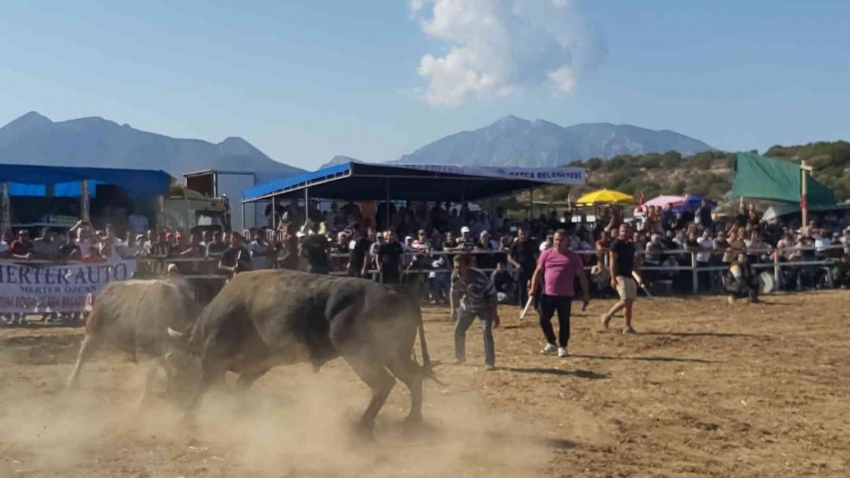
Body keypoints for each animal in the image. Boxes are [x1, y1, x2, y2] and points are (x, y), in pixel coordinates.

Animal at [176, 270, 434, 432]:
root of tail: (394, 290)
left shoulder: (214, 357)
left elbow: (205, 385)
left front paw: (189, 412)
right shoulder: (258, 365)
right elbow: (239, 387)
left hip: (362, 358)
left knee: (384, 383)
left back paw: (363, 424)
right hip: (395, 356)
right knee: (413, 378)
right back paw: (412, 420)